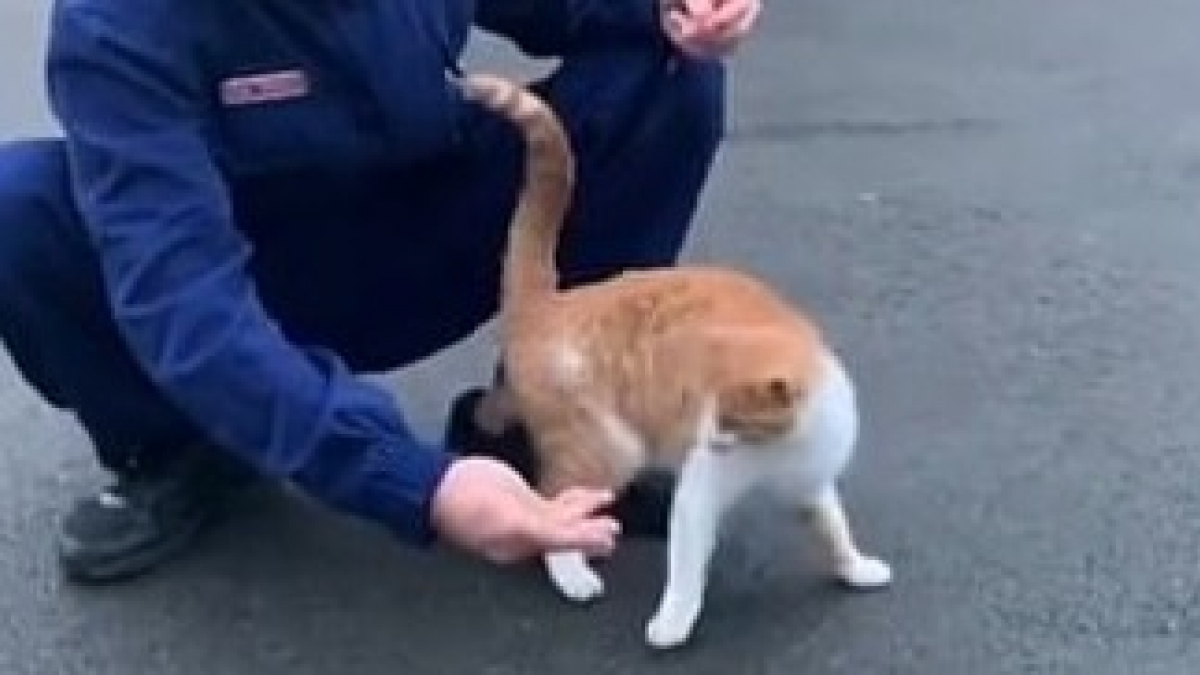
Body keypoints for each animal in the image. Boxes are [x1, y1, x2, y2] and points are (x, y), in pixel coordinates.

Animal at [458, 69, 892, 648]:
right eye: (705, 411)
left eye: (732, 420)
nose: (705, 438)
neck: (782, 448)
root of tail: (553, 300)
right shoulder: (700, 493)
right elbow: (687, 569)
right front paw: (672, 623)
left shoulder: (810, 482)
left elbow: (834, 530)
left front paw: (856, 569)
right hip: (608, 446)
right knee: (550, 501)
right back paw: (573, 572)